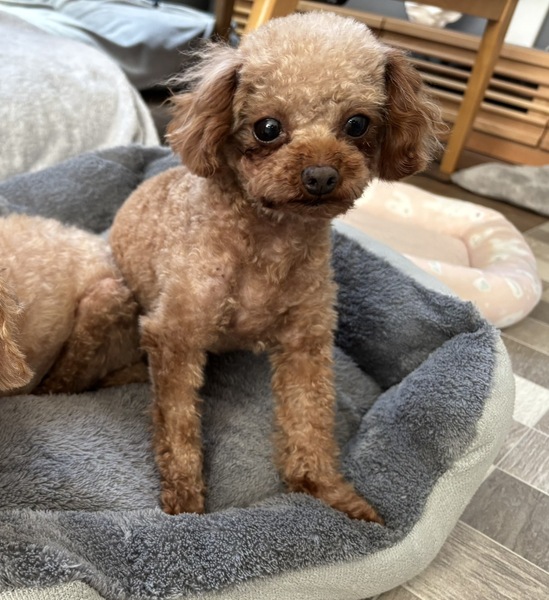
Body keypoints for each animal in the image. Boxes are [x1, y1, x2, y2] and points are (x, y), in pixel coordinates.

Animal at [110, 11, 443, 522]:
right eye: (267, 127)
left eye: (357, 123)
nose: (321, 176)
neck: (271, 239)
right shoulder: (174, 335)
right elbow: (178, 422)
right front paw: (185, 502)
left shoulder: (306, 340)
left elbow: (310, 419)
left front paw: (332, 497)